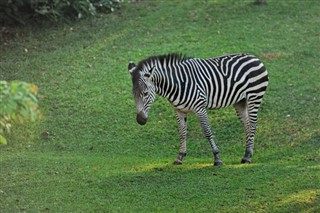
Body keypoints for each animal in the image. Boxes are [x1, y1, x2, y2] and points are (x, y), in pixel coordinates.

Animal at [127, 52, 268, 166]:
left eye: (145, 93)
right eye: (133, 94)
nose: (140, 120)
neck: (177, 84)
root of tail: (254, 57)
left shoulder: (200, 108)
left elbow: (207, 132)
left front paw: (217, 158)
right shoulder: (179, 111)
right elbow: (182, 133)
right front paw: (180, 157)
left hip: (254, 97)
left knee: (253, 125)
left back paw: (248, 157)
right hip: (240, 102)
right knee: (247, 125)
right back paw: (247, 155)